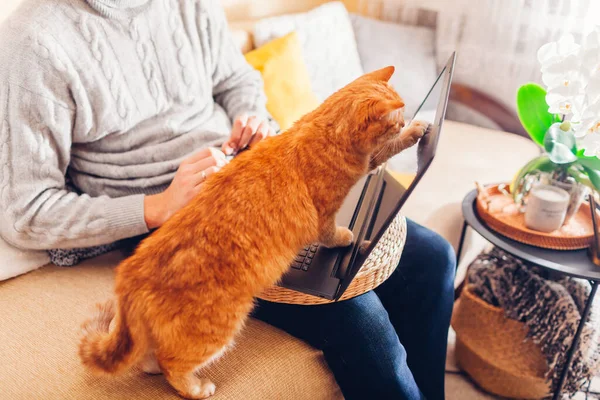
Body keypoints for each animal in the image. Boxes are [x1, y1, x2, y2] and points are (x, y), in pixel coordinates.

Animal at [78, 67, 426, 398]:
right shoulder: (326, 214)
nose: (405, 121)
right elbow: (334, 231)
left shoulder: (365, 162)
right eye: (395, 120)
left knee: (149, 357)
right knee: (170, 364)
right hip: (215, 330)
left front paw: (417, 130)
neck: (319, 129)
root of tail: (130, 273)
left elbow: (384, 153)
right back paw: (197, 388)